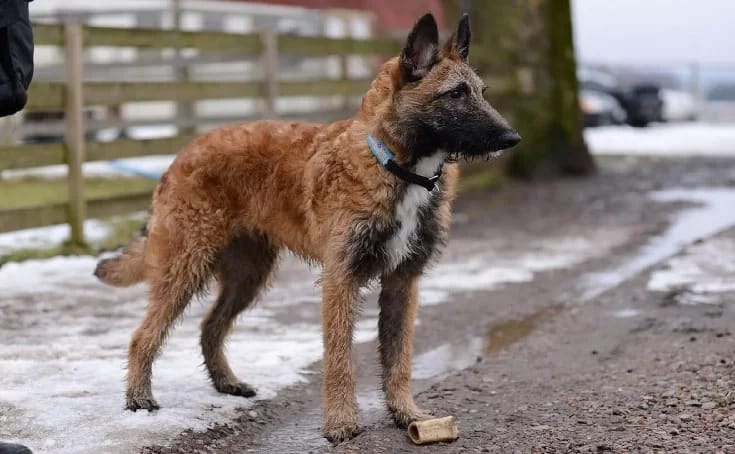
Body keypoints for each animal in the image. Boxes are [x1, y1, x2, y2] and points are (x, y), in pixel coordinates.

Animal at [95, 12, 520, 442]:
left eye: (481, 91)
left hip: (247, 276)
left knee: (210, 327)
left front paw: (406, 414)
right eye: (456, 94)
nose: (512, 137)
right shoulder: (341, 279)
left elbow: (399, 358)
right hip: (185, 265)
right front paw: (341, 422)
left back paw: (225, 382)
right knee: (143, 335)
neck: (394, 164)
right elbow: (339, 357)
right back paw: (139, 397)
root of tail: (182, 154)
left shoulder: (403, 281)